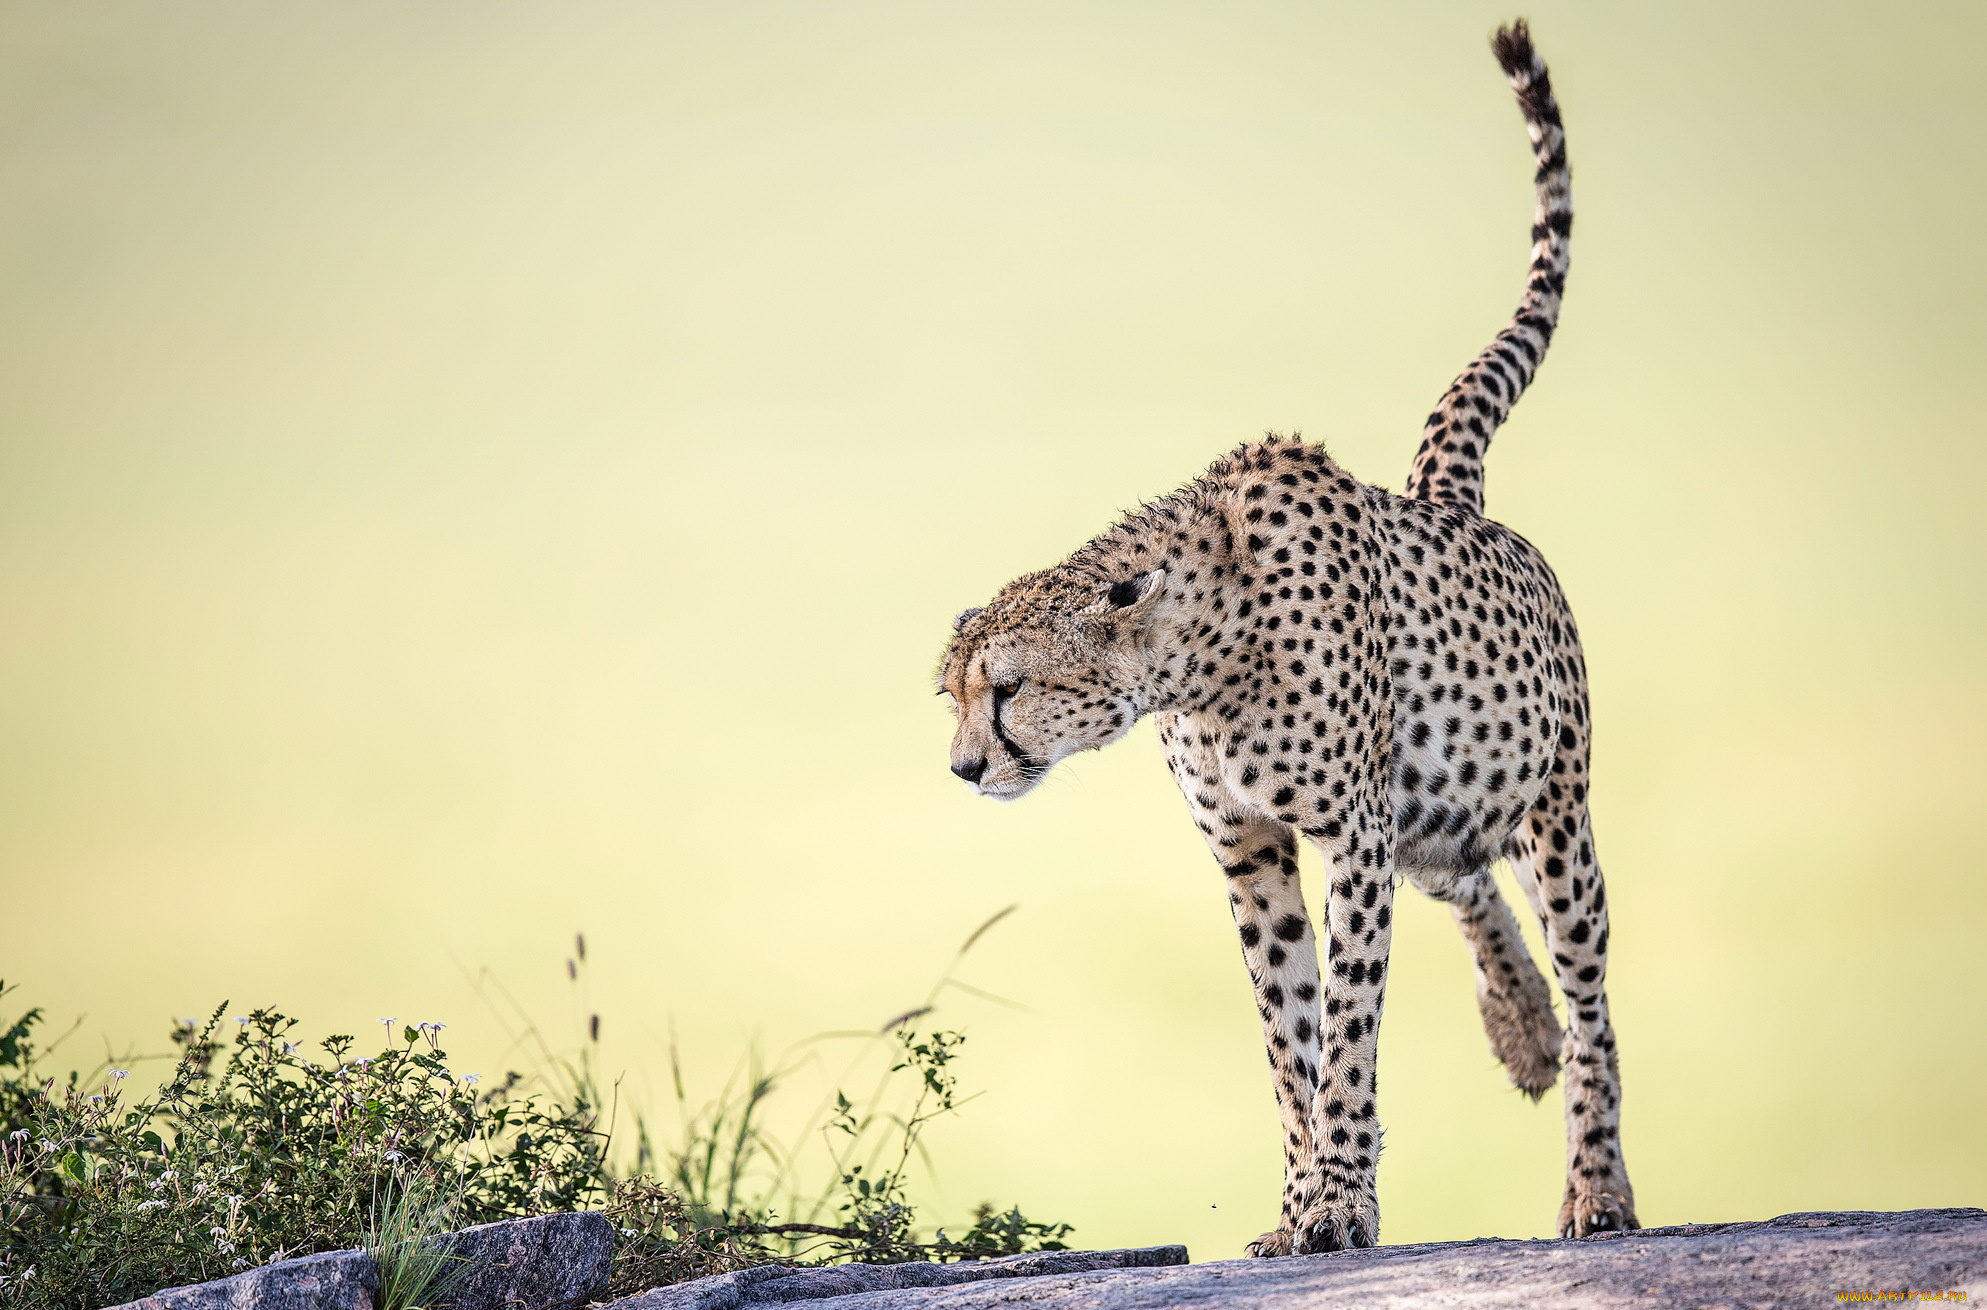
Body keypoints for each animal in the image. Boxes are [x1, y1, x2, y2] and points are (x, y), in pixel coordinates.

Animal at [935, 22, 1636, 1255]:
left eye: (1007, 691)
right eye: (955, 696)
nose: (967, 767)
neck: (1201, 655)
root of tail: (1446, 493)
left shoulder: (1348, 831)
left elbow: (1346, 1022)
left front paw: (1339, 1200)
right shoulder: (1250, 845)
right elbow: (1286, 1033)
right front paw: (1301, 1196)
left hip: (1554, 812)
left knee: (1590, 985)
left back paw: (1596, 1184)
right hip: (1444, 806)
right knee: (1466, 879)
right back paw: (1522, 1029)